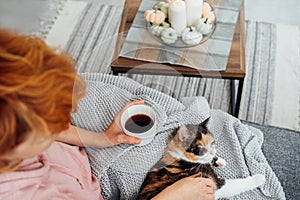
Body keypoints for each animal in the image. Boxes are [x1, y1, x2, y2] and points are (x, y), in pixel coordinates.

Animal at [137, 118, 266, 199]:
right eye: (202, 149)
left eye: (212, 142)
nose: (213, 151)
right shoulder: (211, 184)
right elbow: (236, 184)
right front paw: (259, 178)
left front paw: (219, 161)